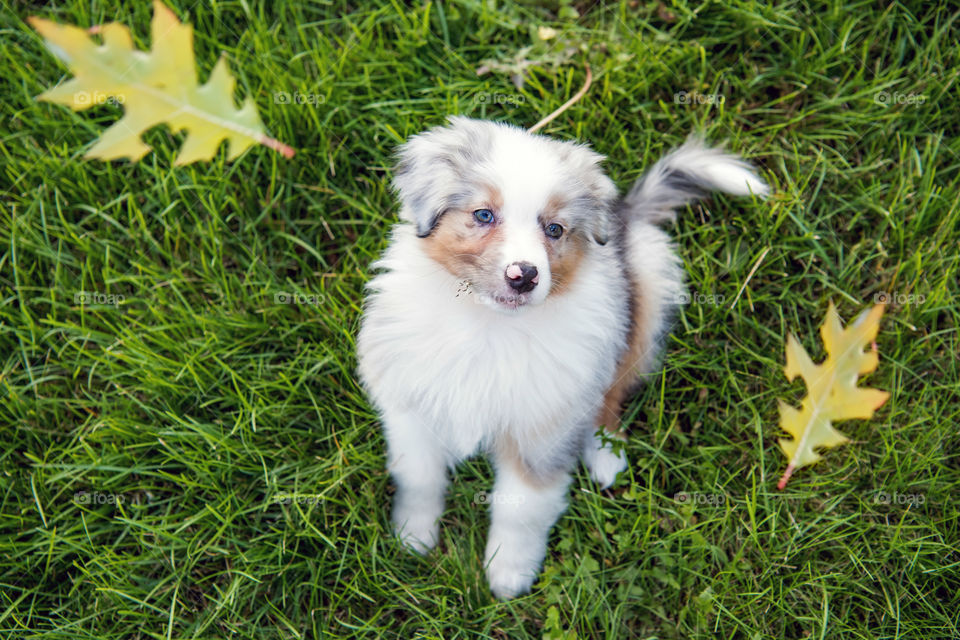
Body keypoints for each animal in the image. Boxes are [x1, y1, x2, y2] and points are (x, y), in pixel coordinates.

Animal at [356, 116, 768, 600]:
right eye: (483, 215)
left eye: (554, 229)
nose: (524, 276)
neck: (489, 325)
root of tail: (626, 217)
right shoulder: (411, 408)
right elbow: (419, 477)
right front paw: (413, 535)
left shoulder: (543, 427)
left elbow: (521, 509)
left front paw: (508, 574)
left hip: (639, 305)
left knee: (612, 391)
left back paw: (606, 455)